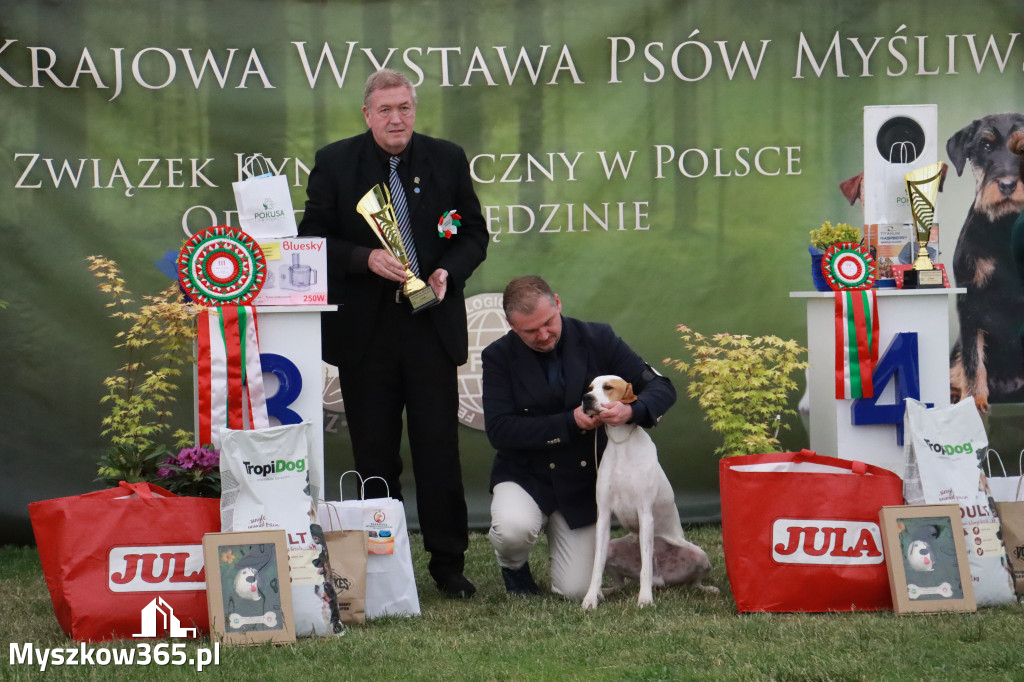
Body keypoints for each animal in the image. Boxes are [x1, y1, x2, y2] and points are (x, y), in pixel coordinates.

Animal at [581, 374, 716, 606]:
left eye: (608, 387)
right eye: (590, 387)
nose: (586, 398)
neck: (621, 446)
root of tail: (660, 580)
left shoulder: (645, 514)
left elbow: (645, 566)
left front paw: (644, 599)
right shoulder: (604, 515)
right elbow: (596, 566)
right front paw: (591, 598)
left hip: (700, 555)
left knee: (693, 583)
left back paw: (706, 588)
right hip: (612, 548)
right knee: (620, 582)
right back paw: (604, 591)